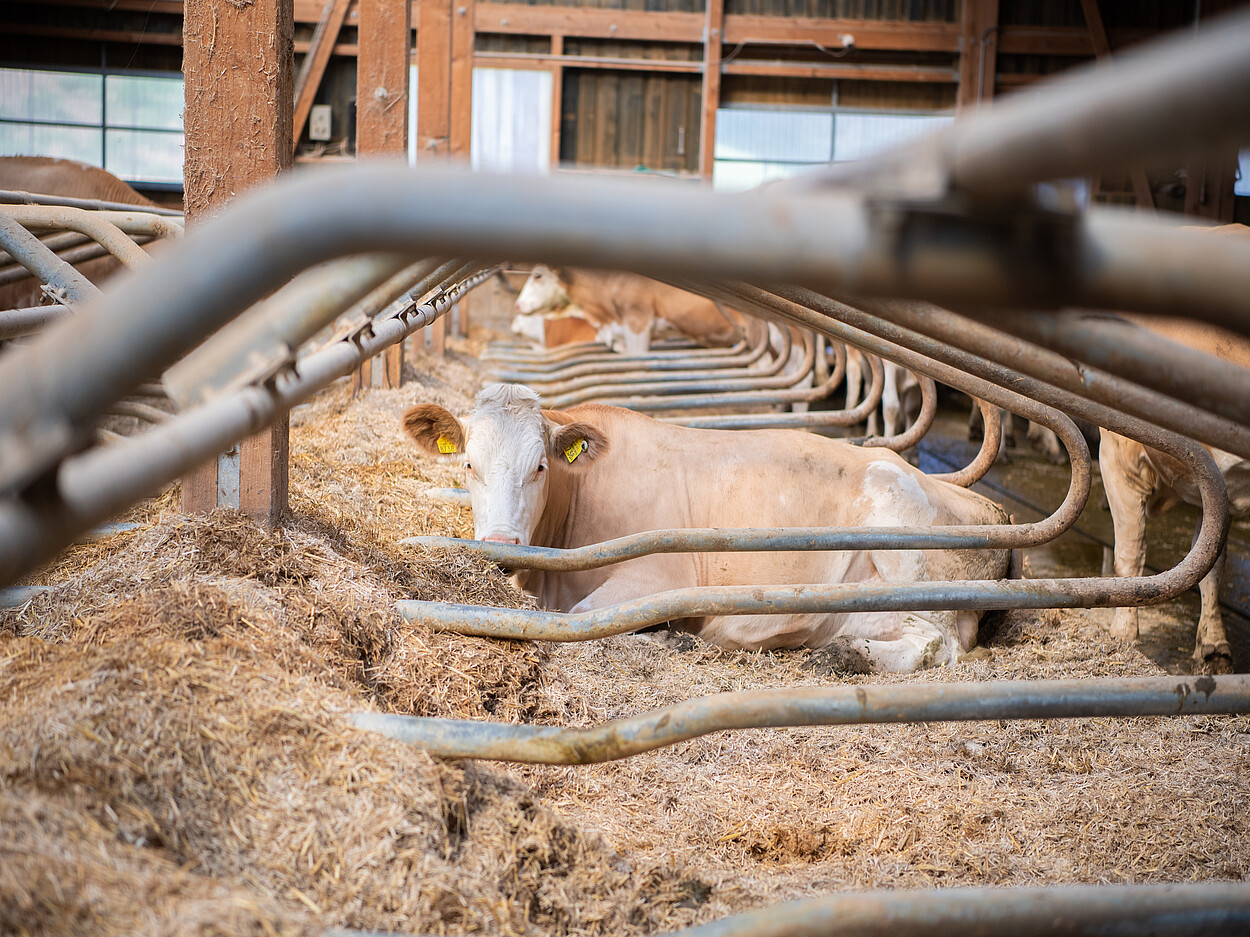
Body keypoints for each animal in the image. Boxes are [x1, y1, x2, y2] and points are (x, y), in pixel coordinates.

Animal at [403, 382, 1012, 673]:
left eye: (540, 467)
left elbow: (582, 619)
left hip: (911, 563)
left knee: (936, 645)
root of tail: (992, 511)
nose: (499, 545)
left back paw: (845, 658)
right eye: (468, 465)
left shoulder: (655, 577)